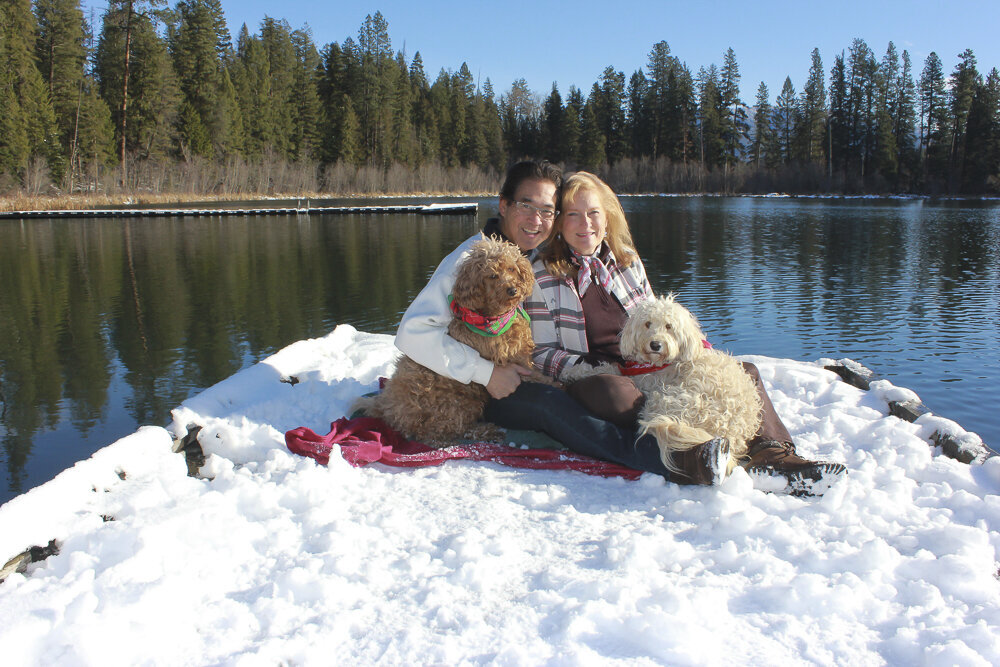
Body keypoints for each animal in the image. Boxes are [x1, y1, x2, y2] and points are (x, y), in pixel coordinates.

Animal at [358, 237, 548, 446]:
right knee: (434, 433)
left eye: (512, 269)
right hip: (456, 403)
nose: (513, 290)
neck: (494, 318)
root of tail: (388, 407)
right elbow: (541, 378)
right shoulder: (517, 361)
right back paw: (483, 432)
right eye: (492, 275)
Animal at [568, 294, 760, 478]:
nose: (655, 344)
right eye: (647, 323)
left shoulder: (645, 381)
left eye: (669, 326)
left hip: (664, 402)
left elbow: (609, 368)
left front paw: (574, 372)